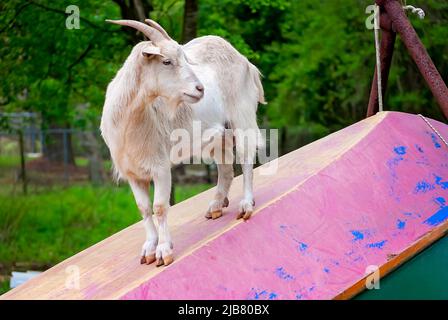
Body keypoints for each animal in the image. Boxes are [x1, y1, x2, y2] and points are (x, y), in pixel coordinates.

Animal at [100, 18, 264, 266]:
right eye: (166, 61)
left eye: (185, 59)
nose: (200, 89)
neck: (129, 123)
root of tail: (243, 60)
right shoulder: (133, 174)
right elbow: (143, 209)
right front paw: (148, 249)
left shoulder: (159, 168)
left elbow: (159, 207)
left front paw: (163, 251)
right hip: (218, 135)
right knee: (225, 169)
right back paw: (216, 206)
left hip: (241, 115)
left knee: (245, 157)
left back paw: (246, 205)